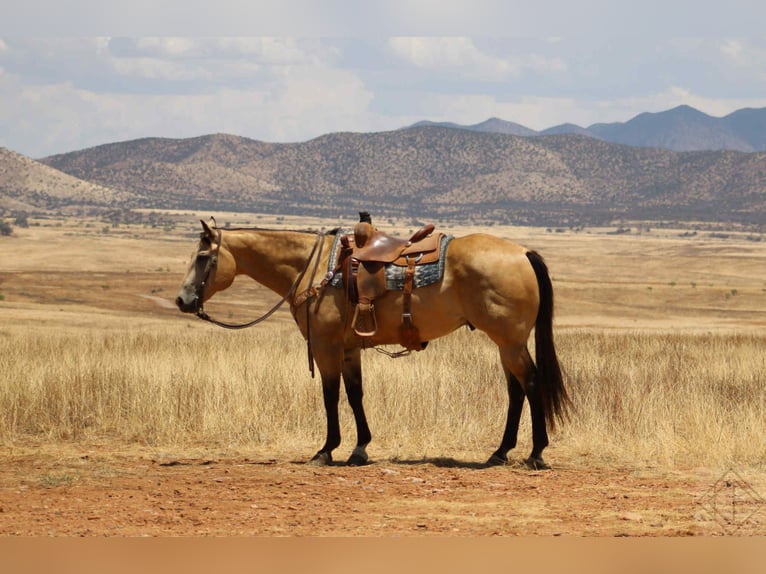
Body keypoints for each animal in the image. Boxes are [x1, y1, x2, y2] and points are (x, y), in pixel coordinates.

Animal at [175, 218, 569, 468]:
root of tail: (523, 252)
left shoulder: (326, 346)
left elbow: (330, 396)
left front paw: (326, 450)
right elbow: (355, 394)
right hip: (505, 343)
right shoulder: (349, 349)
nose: (183, 300)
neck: (312, 268)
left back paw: (535, 454)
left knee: (531, 384)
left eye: (202, 258)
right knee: (516, 391)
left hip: (510, 341)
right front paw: (360, 448)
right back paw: (500, 452)